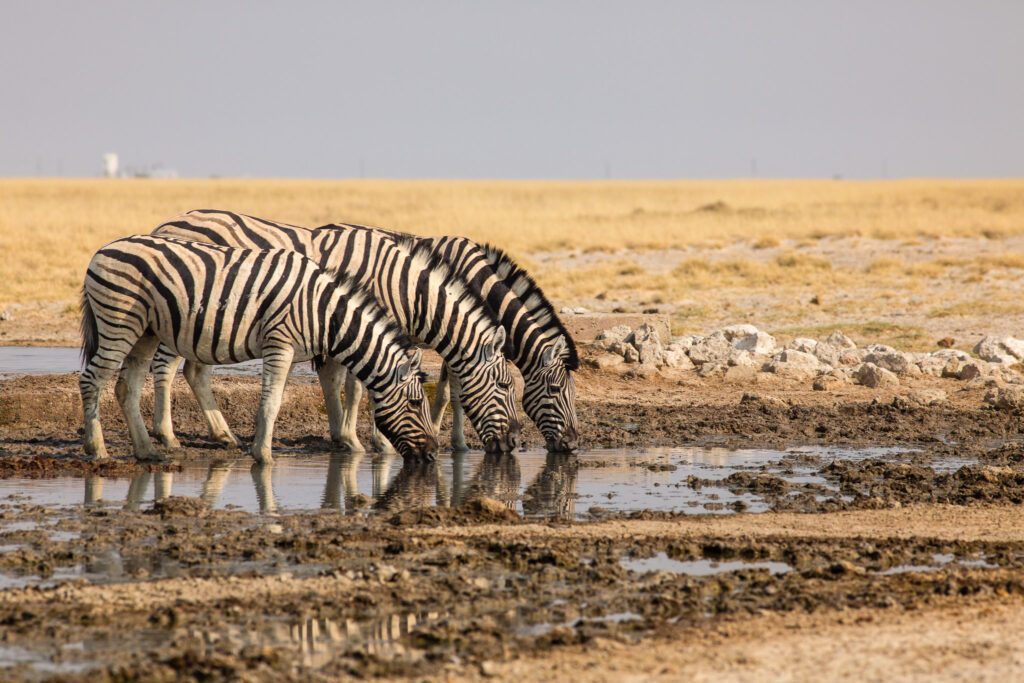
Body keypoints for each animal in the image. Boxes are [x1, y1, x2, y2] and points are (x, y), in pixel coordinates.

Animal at [76, 235, 436, 464]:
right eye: (417, 404)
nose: (433, 454)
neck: (323, 312)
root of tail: (103, 249)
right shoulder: (280, 343)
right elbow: (272, 402)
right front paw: (263, 456)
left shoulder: (290, 349)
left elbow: (274, 400)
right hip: (119, 321)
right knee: (92, 380)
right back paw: (98, 450)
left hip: (146, 331)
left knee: (127, 387)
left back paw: (146, 451)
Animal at [150, 208, 520, 454]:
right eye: (505, 385)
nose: (514, 442)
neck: (403, 287)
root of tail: (168, 222)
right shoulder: (361, 325)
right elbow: (360, 388)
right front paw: (372, 442)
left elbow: (345, 383)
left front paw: (347, 437)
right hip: (181, 314)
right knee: (165, 367)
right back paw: (166, 435)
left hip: (209, 326)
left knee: (195, 371)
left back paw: (223, 435)